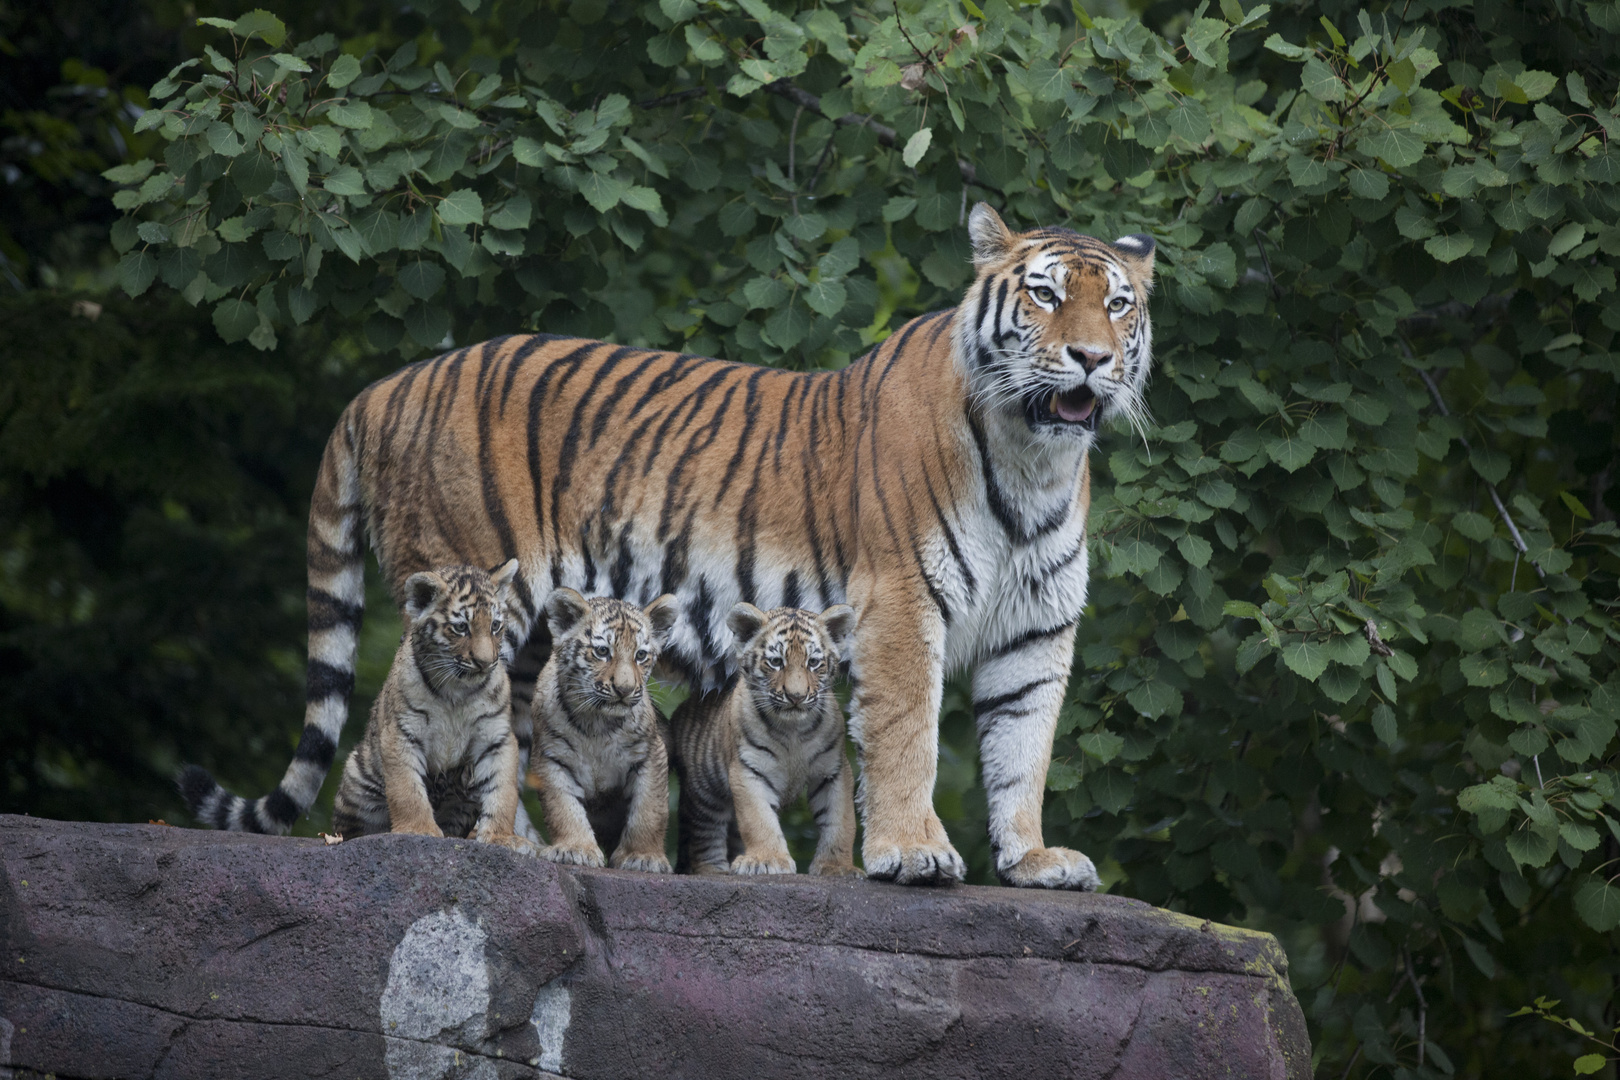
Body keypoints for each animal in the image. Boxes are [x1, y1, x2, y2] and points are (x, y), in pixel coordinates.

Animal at [186, 202, 1153, 887]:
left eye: (1116, 304)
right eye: (1043, 294)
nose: (1091, 359)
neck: (1034, 463)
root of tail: (382, 386)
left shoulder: (1037, 628)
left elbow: (1024, 747)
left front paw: (1031, 859)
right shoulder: (900, 607)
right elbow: (907, 737)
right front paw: (914, 851)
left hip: (534, 635)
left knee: (524, 737)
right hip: (476, 598)